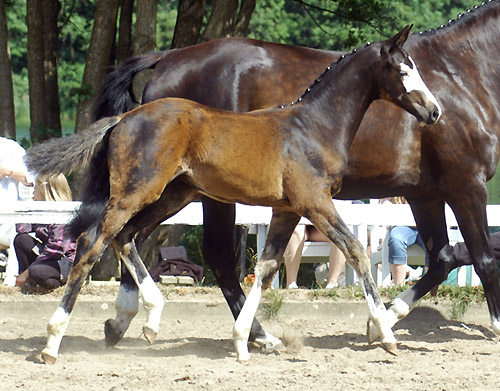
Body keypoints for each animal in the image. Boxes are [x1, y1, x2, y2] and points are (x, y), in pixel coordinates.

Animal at [26, 28, 442, 364]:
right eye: (403, 71)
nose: (434, 111)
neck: (315, 125)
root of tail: (124, 118)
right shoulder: (316, 202)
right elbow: (356, 251)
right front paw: (385, 334)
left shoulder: (288, 210)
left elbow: (267, 268)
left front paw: (245, 341)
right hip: (137, 191)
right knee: (93, 241)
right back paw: (52, 342)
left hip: (172, 195)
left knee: (126, 236)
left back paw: (150, 319)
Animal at [93, 0, 500, 350]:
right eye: (403, 71)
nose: (434, 112)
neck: (463, 72)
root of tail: (167, 58)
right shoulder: (466, 186)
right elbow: (482, 257)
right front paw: (494, 326)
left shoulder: (426, 194)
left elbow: (444, 257)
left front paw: (382, 320)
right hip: (196, 192)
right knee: (211, 254)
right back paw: (248, 333)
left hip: (180, 189)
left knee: (135, 234)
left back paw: (123, 322)